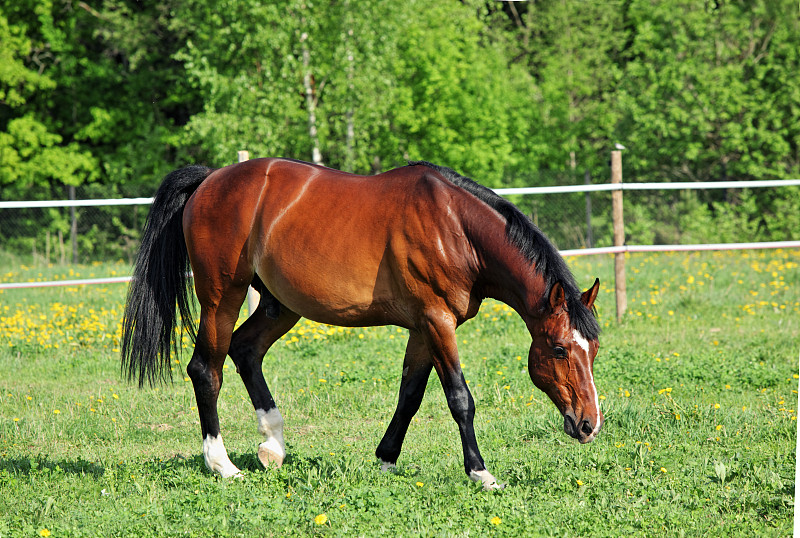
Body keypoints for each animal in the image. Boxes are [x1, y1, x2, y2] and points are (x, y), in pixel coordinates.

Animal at [120, 157, 600, 488]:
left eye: (592, 350)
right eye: (559, 349)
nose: (589, 424)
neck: (456, 228)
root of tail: (211, 179)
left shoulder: (422, 328)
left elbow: (410, 396)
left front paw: (386, 459)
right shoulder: (437, 321)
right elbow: (460, 399)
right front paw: (481, 473)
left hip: (280, 304)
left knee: (246, 350)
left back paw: (273, 445)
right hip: (223, 296)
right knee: (206, 369)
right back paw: (223, 465)